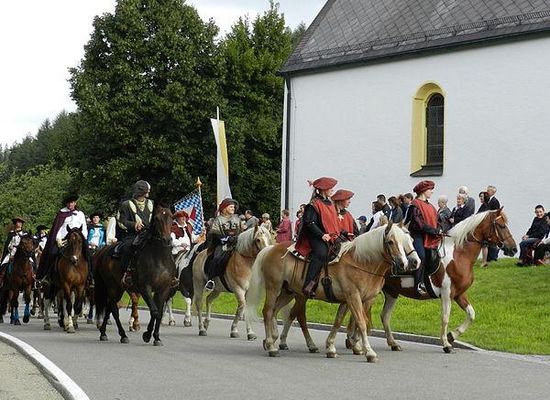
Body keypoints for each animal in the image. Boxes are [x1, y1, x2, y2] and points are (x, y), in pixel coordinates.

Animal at [133, 206, 177, 346]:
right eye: (157, 218)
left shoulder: (163, 289)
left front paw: (156, 336)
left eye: (171, 217)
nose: (167, 240)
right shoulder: (145, 287)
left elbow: (158, 312)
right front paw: (147, 334)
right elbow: (155, 311)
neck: (160, 258)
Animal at [245, 222, 420, 362]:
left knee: (277, 311)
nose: (406, 263)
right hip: (274, 288)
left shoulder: (359, 299)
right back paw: (271, 345)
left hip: (289, 292)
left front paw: (332, 347)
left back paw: (275, 340)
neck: (361, 262)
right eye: (390, 241)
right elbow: (361, 322)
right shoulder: (353, 296)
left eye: (410, 241)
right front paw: (369, 352)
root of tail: (270, 248)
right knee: (269, 311)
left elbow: (339, 321)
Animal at [377, 208, 517, 353]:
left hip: (392, 292)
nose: (513, 249)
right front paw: (446, 344)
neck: (459, 255)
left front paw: (452, 336)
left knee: (385, 316)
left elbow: (471, 314)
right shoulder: (446, 294)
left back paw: (393, 343)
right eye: (502, 226)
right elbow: (445, 318)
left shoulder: (459, 294)